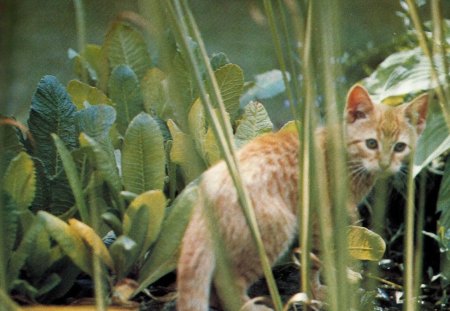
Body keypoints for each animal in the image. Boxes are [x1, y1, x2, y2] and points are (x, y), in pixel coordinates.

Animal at [176, 85, 428, 311]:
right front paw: (317, 292)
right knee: (226, 284)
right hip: (276, 230)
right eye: (372, 143)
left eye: (400, 147)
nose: (385, 164)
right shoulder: (318, 219)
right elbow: (315, 259)